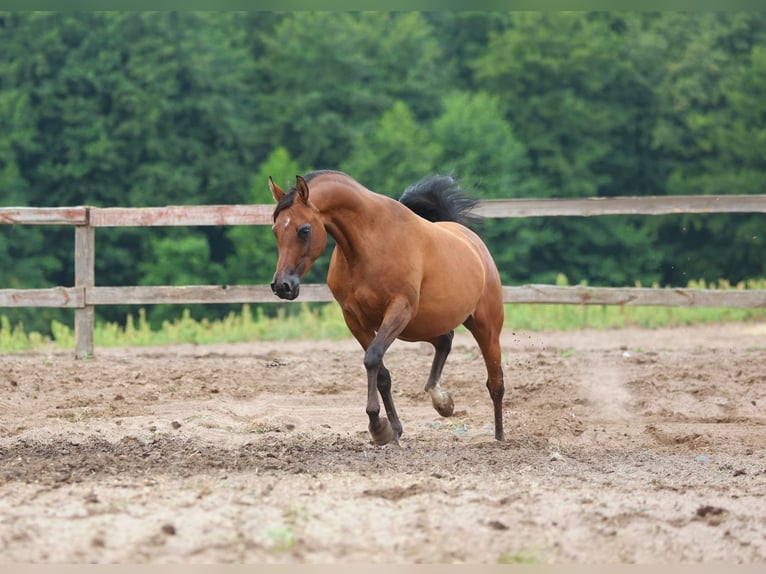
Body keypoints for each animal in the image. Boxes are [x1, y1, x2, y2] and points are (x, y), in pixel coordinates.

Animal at [268, 171, 508, 446]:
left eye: (304, 229)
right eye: (275, 229)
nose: (282, 285)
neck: (368, 243)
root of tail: (475, 245)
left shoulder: (398, 309)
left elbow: (372, 358)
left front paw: (378, 426)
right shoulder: (355, 319)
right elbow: (381, 372)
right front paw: (392, 430)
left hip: (484, 327)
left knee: (495, 381)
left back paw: (499, 437)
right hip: (419, 326)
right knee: (445, 341)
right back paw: (441, 400)